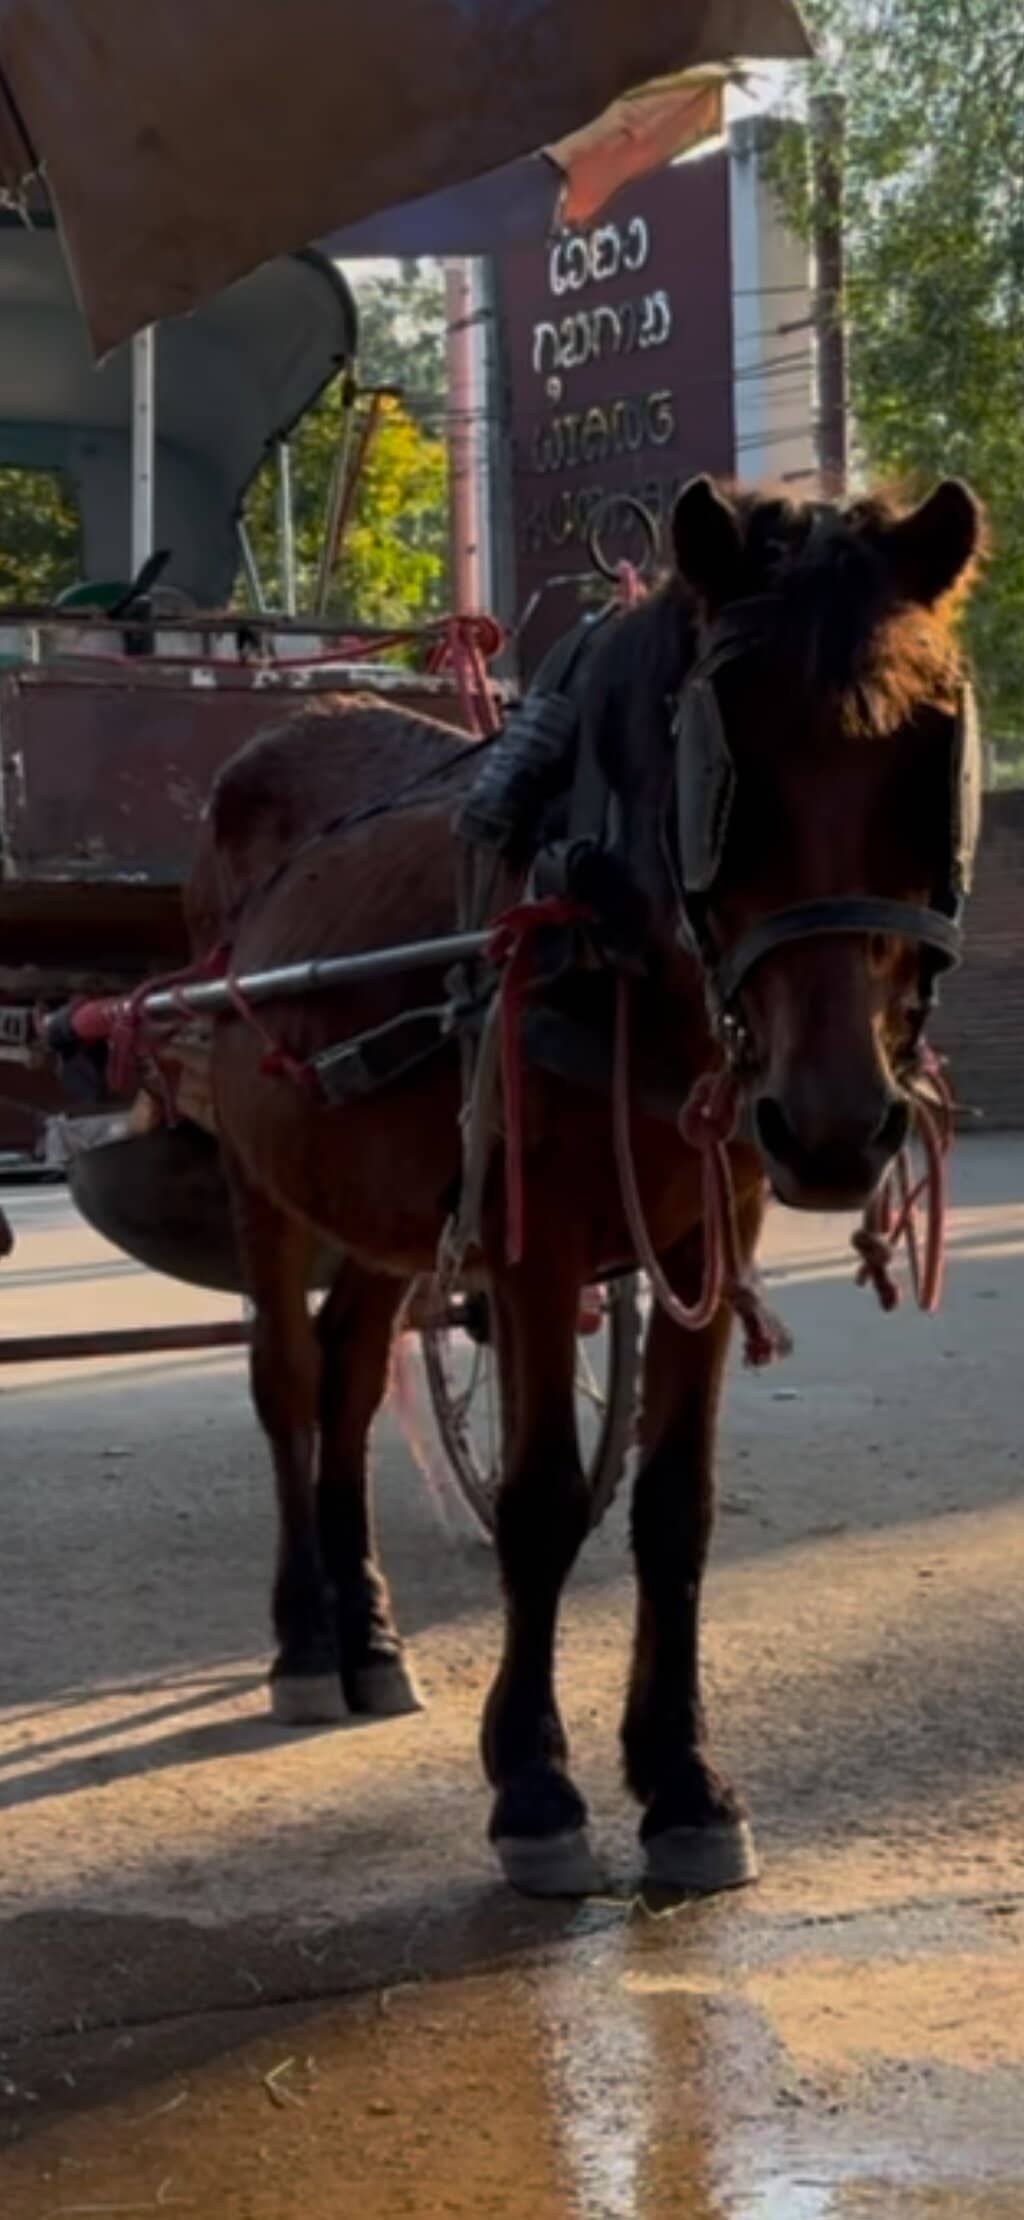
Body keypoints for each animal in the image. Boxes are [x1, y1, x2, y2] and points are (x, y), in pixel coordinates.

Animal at [186, 471, 983, 1896]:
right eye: (727, 771)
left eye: (924, 760)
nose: (835, 1126)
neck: (619, 940)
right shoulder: (532, 1247)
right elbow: (543, 1500)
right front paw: (535, 1784)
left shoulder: (717, 1227)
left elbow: (673, 1510)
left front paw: (681, 1781)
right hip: (259, 1176)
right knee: (286, 1385)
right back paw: (305, 1642)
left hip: (389, 1208)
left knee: (349, 1375)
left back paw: (370, 1633)